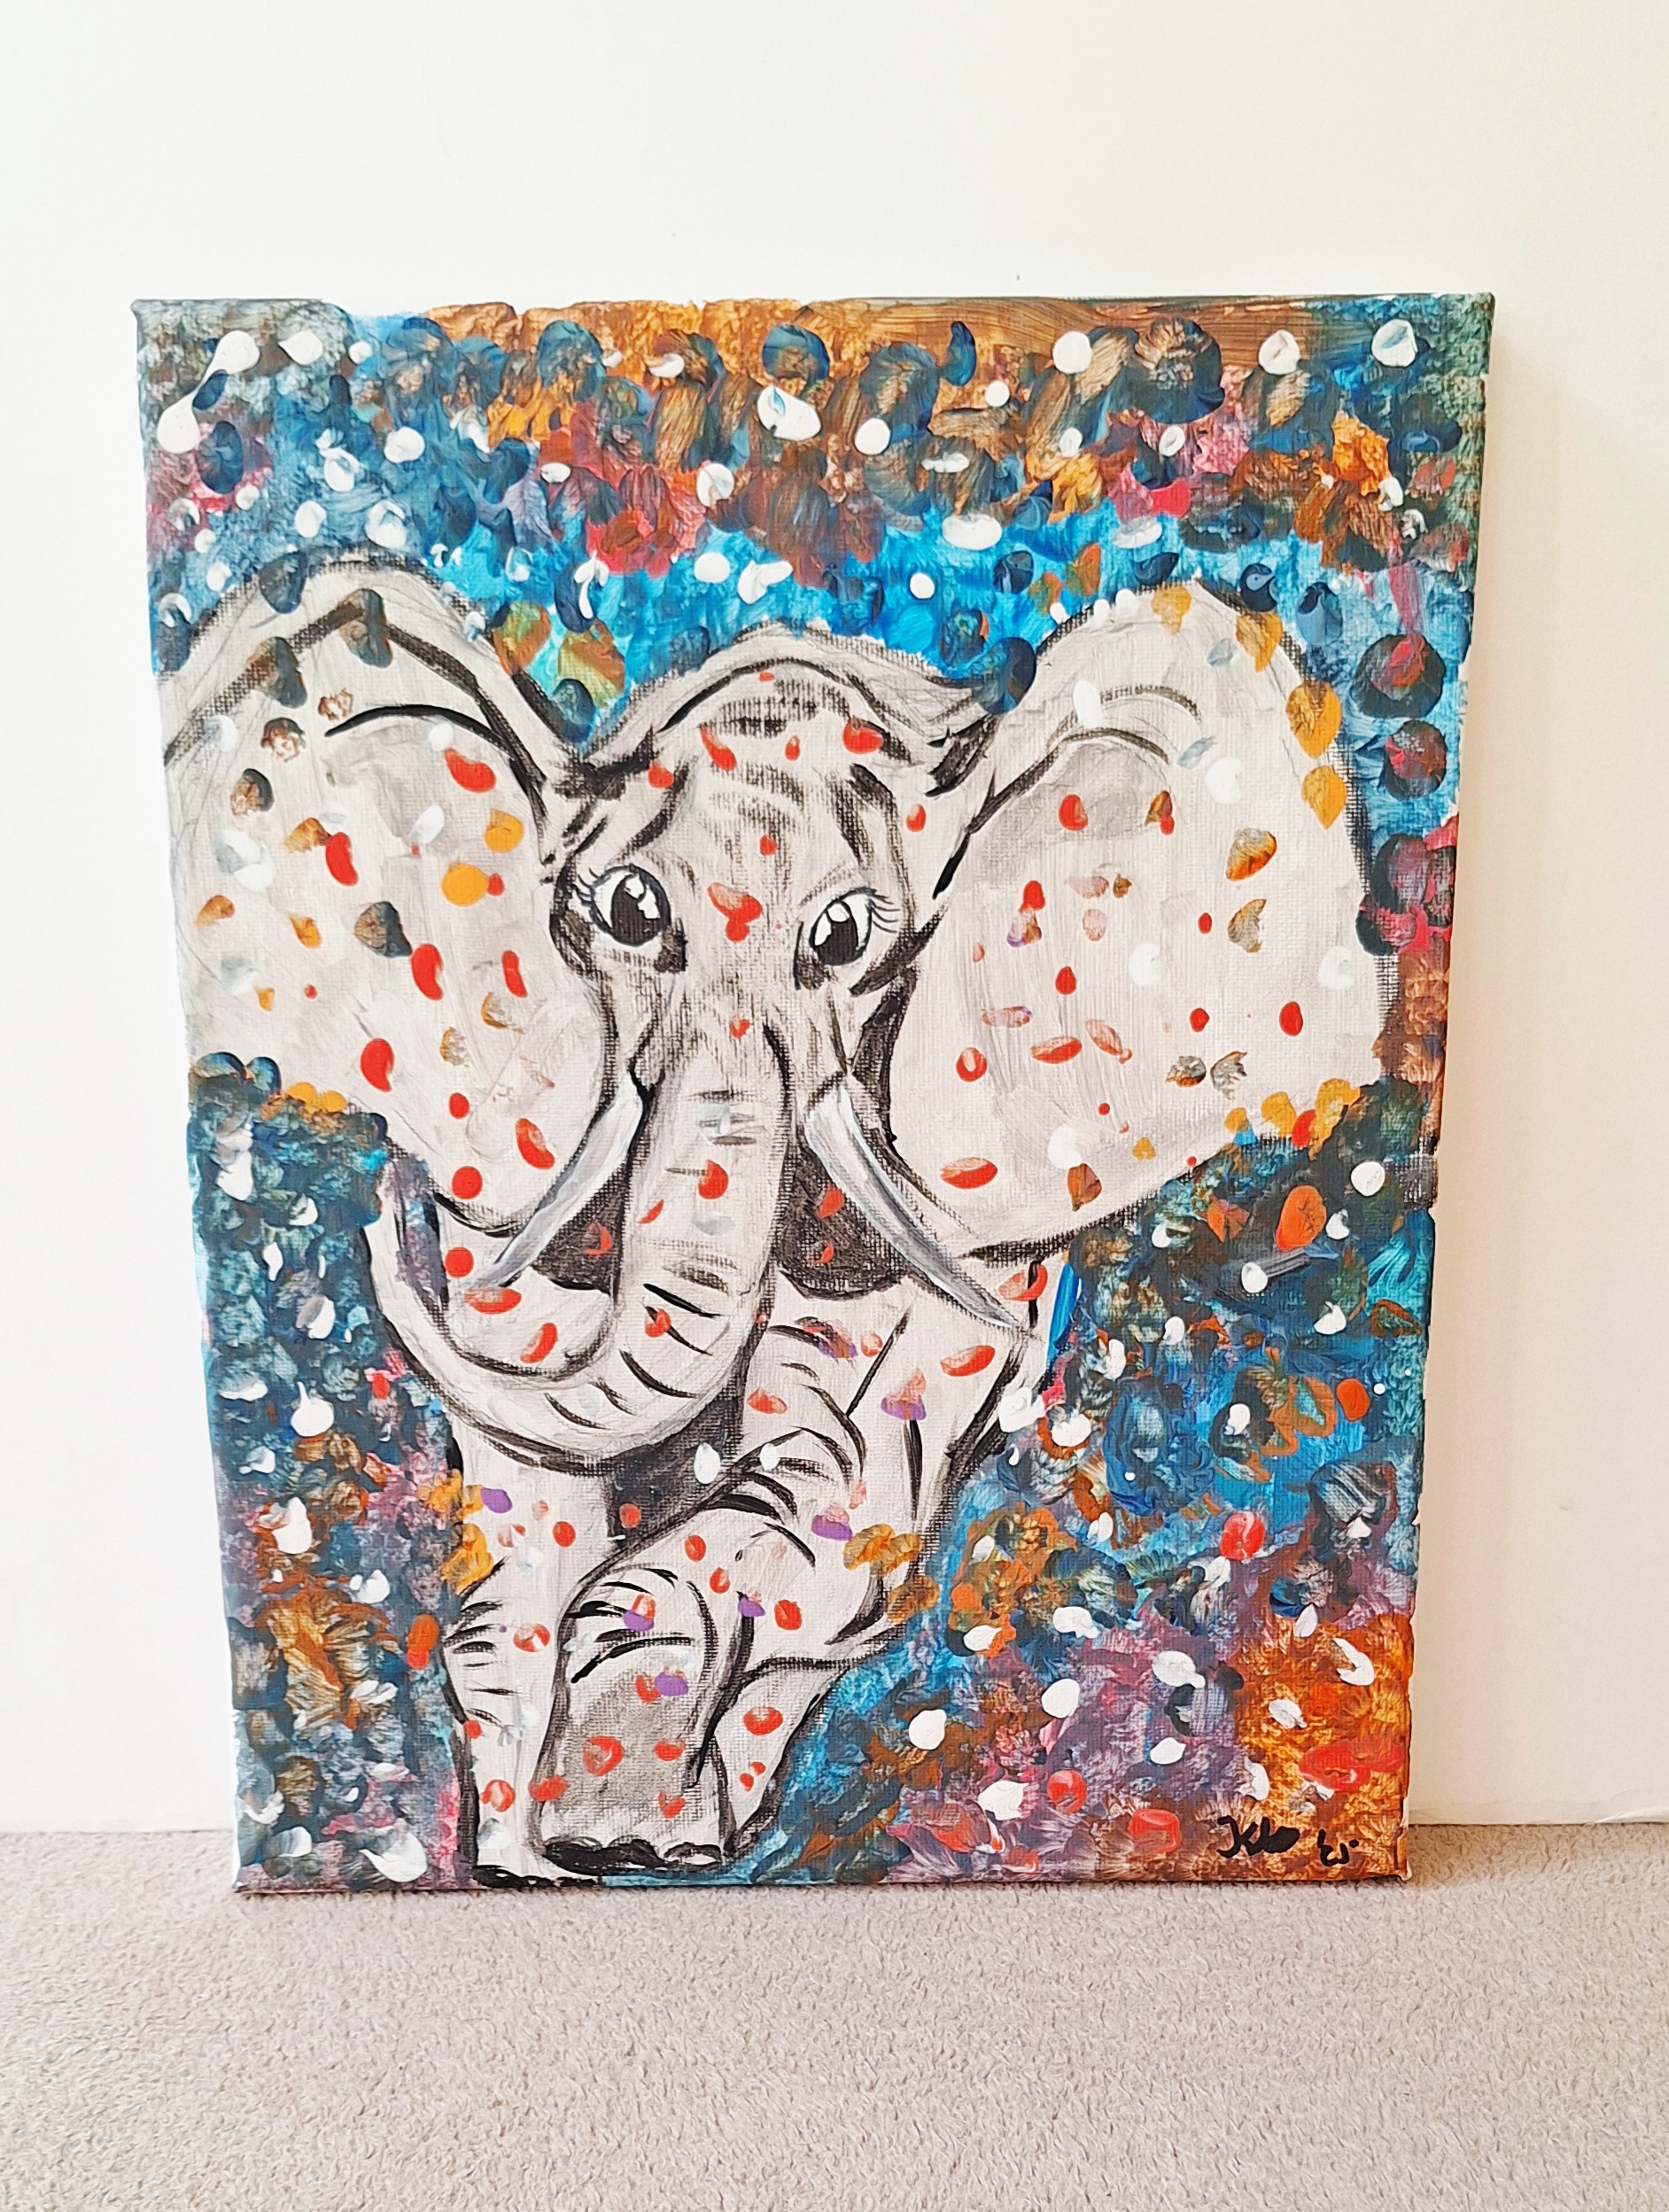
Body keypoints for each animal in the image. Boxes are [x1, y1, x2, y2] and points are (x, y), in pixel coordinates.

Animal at [161, 556, 1384, 1880]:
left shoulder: (974, 1189)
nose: (382, 1229)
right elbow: (526, 1418)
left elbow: (850, 1457)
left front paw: (631, 1803)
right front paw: (543, 1843)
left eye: (844, 938)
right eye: (628, 911)